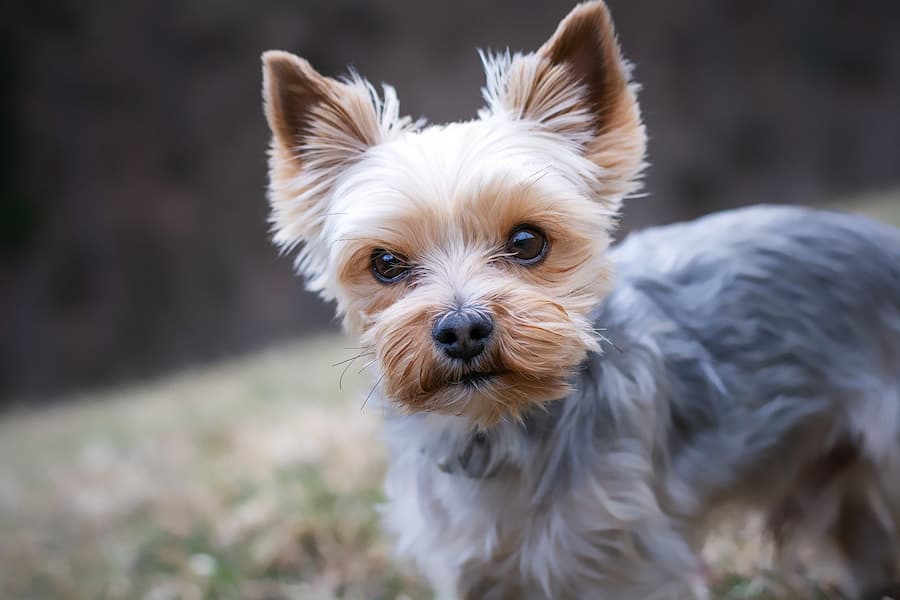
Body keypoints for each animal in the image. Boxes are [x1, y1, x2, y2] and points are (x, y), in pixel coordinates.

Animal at [258, 2, 900, 596]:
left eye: (527, 241)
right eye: (385, 264)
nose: (462, 329)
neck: (499, 428)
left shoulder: (626, 563)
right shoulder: (471, 569)